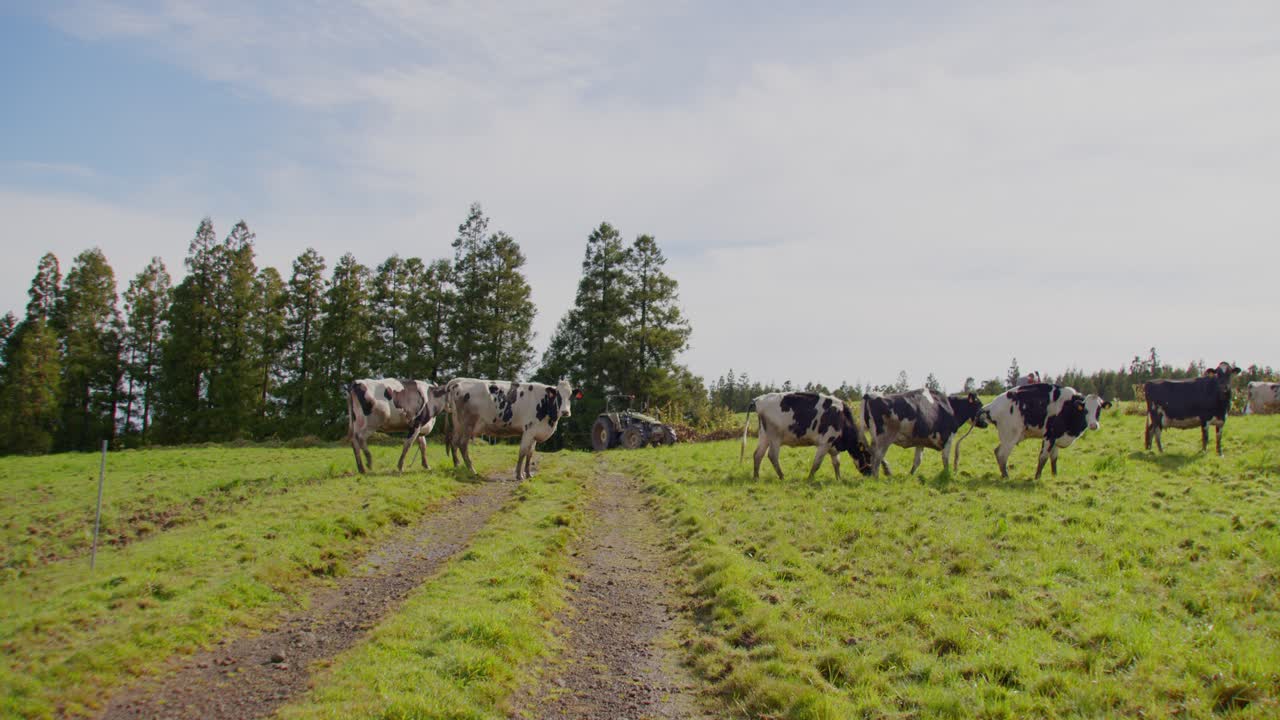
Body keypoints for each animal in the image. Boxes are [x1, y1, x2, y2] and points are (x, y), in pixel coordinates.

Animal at [445, 378, 580, 481]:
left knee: (454, 442)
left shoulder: (535, 432)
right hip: (468, 425)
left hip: (458, 424)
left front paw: (528, 474)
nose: (565, 412)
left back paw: (457, 466)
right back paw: (472, 471)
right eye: (558, 395)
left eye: (570, 397)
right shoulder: (528, 430)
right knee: (462, 445)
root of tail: (459, 382)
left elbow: (530, 453)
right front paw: (519, 475)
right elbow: (523, 452)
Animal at [739, 392, 873, 481]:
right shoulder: (825, 443)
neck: (841, 418)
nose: (870, 474)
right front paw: (809, 479)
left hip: (764, 436)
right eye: (868, 456)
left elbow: (836, 463)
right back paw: (782, 476)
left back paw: (756, 477)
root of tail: (758, 399)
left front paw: (839, 479)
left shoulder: (833, 446)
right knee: (772, 456)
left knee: (758, 454)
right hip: (775, 437)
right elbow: (817, 463)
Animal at [979, 383, 1111, 479]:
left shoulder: (1056, 438)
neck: (1068, 407)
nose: (1093, 425)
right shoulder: (1049, 436)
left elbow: (1054, 458)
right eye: (1085, 410)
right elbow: (1043, 457)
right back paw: (1006, 476)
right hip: (1010, 436)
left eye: (1099, 409)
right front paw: (1037, 477)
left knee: (998, 452)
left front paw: (1054, 476)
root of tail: (991, 406)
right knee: (1001, 454)